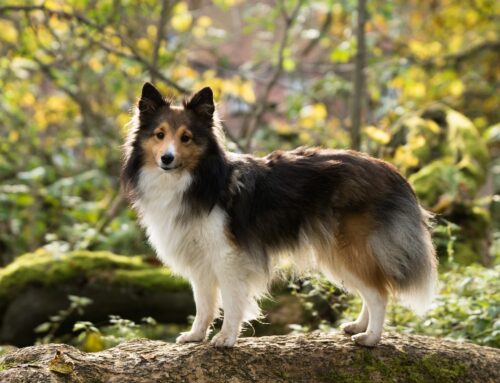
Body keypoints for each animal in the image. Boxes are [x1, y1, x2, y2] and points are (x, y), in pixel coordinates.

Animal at [121, 82, 438, 350]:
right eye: (159, 135)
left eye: (186, 138)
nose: (167, 158)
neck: (197, 180)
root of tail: (393, 172)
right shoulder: (200, 259)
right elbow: (204, 304)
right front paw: (195, 335)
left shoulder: (227, 256)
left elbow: (231, 302)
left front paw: (226, 338)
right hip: (340, 253)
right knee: (370, 290)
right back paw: (358, 326)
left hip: (348, 248)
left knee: (379, 292)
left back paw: (370, 338)